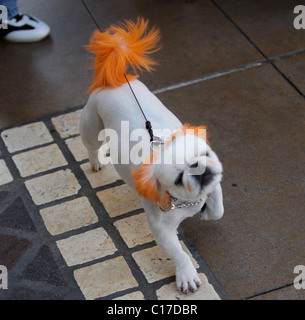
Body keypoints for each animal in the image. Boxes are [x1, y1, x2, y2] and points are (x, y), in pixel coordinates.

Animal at [81, 17, 223, 292]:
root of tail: (114, 78)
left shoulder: (215, 183)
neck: (186, 201)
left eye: (205, 154)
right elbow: (179, 253)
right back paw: (96, 160)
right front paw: (186, 275)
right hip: (91, 127)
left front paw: (209, 212)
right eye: (178, 179)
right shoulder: (162, 230)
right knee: (92, 145)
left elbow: (218, 207)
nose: (198, 169)